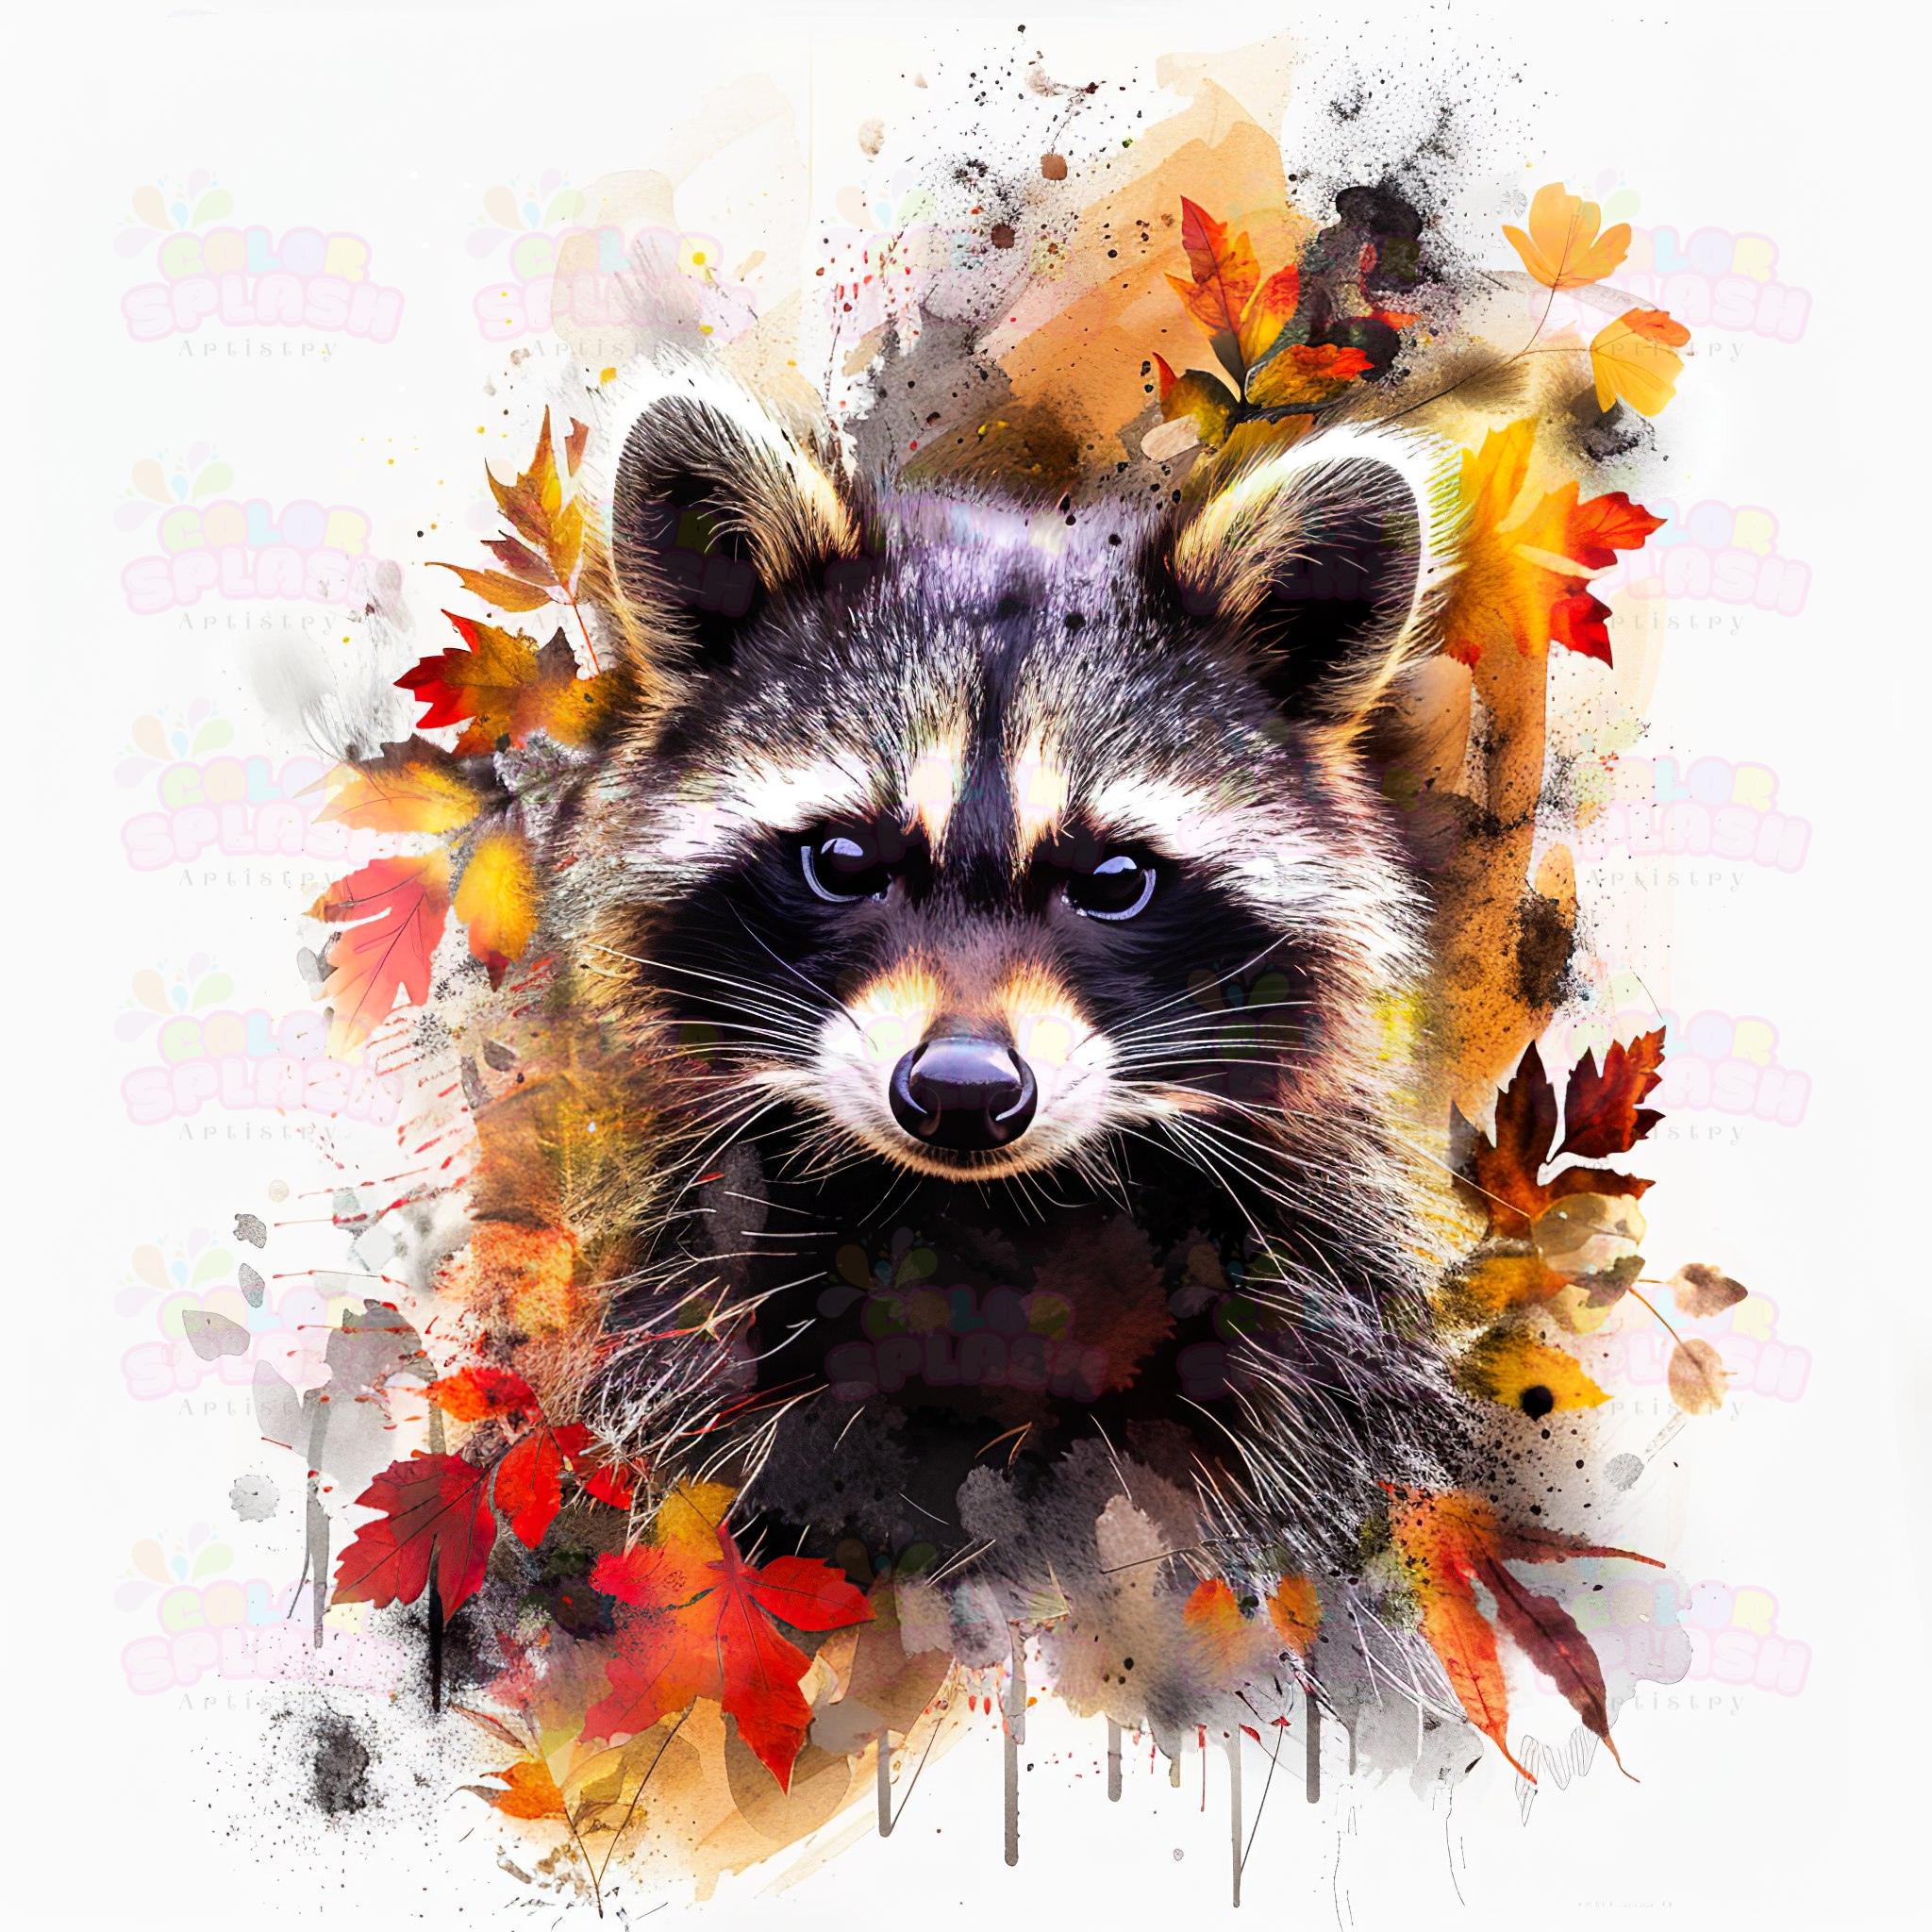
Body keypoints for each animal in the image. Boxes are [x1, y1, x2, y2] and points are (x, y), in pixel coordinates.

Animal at [555, 361, 1472, 1619]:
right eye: (842, 859)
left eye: (1113, 880)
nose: (961, 1089)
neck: (986, 1219)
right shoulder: (695, 1306)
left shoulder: (1311, 1326)